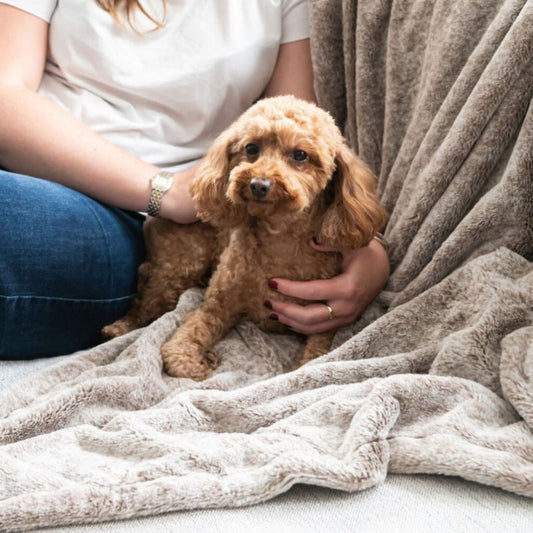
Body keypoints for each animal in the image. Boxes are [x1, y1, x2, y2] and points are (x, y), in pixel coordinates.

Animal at [103, 94, 386, 378]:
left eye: (300, 155)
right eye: (251, 148)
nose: (259, 184)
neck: (280, 238)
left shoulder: (322, 323)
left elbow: (313, 358)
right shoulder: (217, 306)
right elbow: (180, 349)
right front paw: (202, 361)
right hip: (180, 265)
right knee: (146, 298)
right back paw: (119, 327)